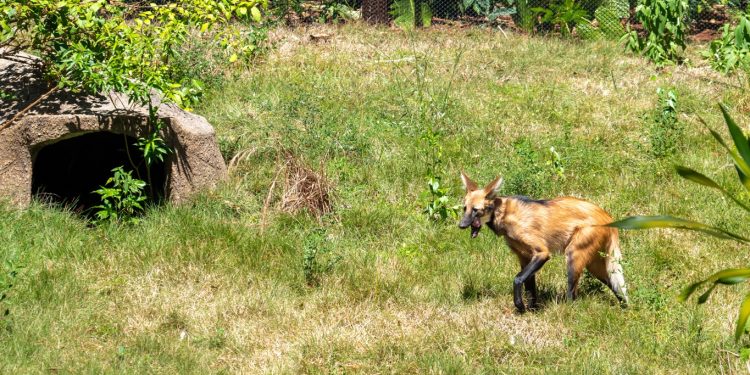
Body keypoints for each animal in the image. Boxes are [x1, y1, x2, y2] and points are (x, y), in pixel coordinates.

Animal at [458, 172, 628, 312]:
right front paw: (532, 310)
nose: (461, 225)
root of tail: (607, 216)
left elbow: (518, 279)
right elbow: (529, 286)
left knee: (573, 293)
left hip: (574, 255)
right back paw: (625, 309)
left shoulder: (542, 252)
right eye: (465, 208)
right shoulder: (524, 256)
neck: (504, 215)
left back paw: (568, 312)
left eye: (476, 210)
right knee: (616, 285)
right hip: (594, 264)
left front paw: (520, 306)